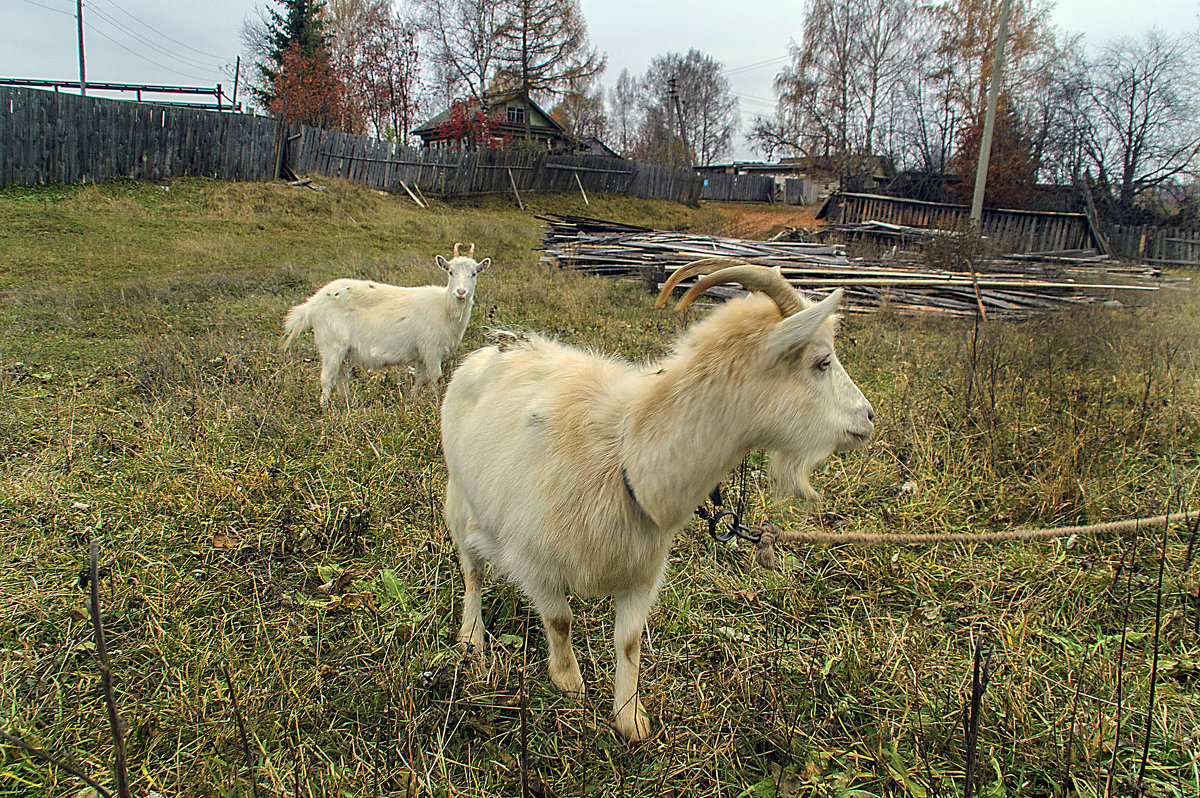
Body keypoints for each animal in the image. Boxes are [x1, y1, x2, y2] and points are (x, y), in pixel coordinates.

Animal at [283, 241, 489, 405]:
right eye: (450, 272)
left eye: (474, 274)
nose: (461, 292)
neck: (445, 308)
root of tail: (313, 303)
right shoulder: (431, 348)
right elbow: (435, 377)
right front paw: (436, 402)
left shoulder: (421, 353)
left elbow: (420, 379)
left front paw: (413, 400)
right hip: (331, 343)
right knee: (327, 377)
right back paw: (325, 408)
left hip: (346, 350)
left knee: (342, 377)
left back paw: (348, 402)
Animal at [439, 261, 873, 739]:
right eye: (822, 362)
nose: (868, 417)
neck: (625, 454)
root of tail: (488, 350)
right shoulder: (534, 561)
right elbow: (560, 620)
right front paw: (570, 683)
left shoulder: (643, 572)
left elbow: (628, 642)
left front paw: (631, 721)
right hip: (459, 498)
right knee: (472, 570)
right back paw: (471, 638)